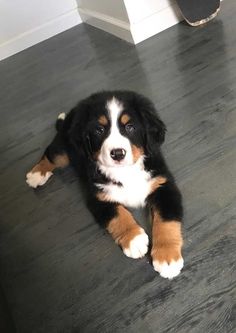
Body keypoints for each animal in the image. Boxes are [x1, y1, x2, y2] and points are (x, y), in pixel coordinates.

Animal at [26, 90, 184, 278]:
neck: (125, 171)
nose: (117, 153)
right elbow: (118, 215)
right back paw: (36, 174)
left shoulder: (163, 186)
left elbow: (166, 222)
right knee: (51, 154)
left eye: (130, 127)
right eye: (99, 129)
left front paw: (167, 258)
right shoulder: (98, 198)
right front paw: (134, 239)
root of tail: (71, 114)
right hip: (64, 150)